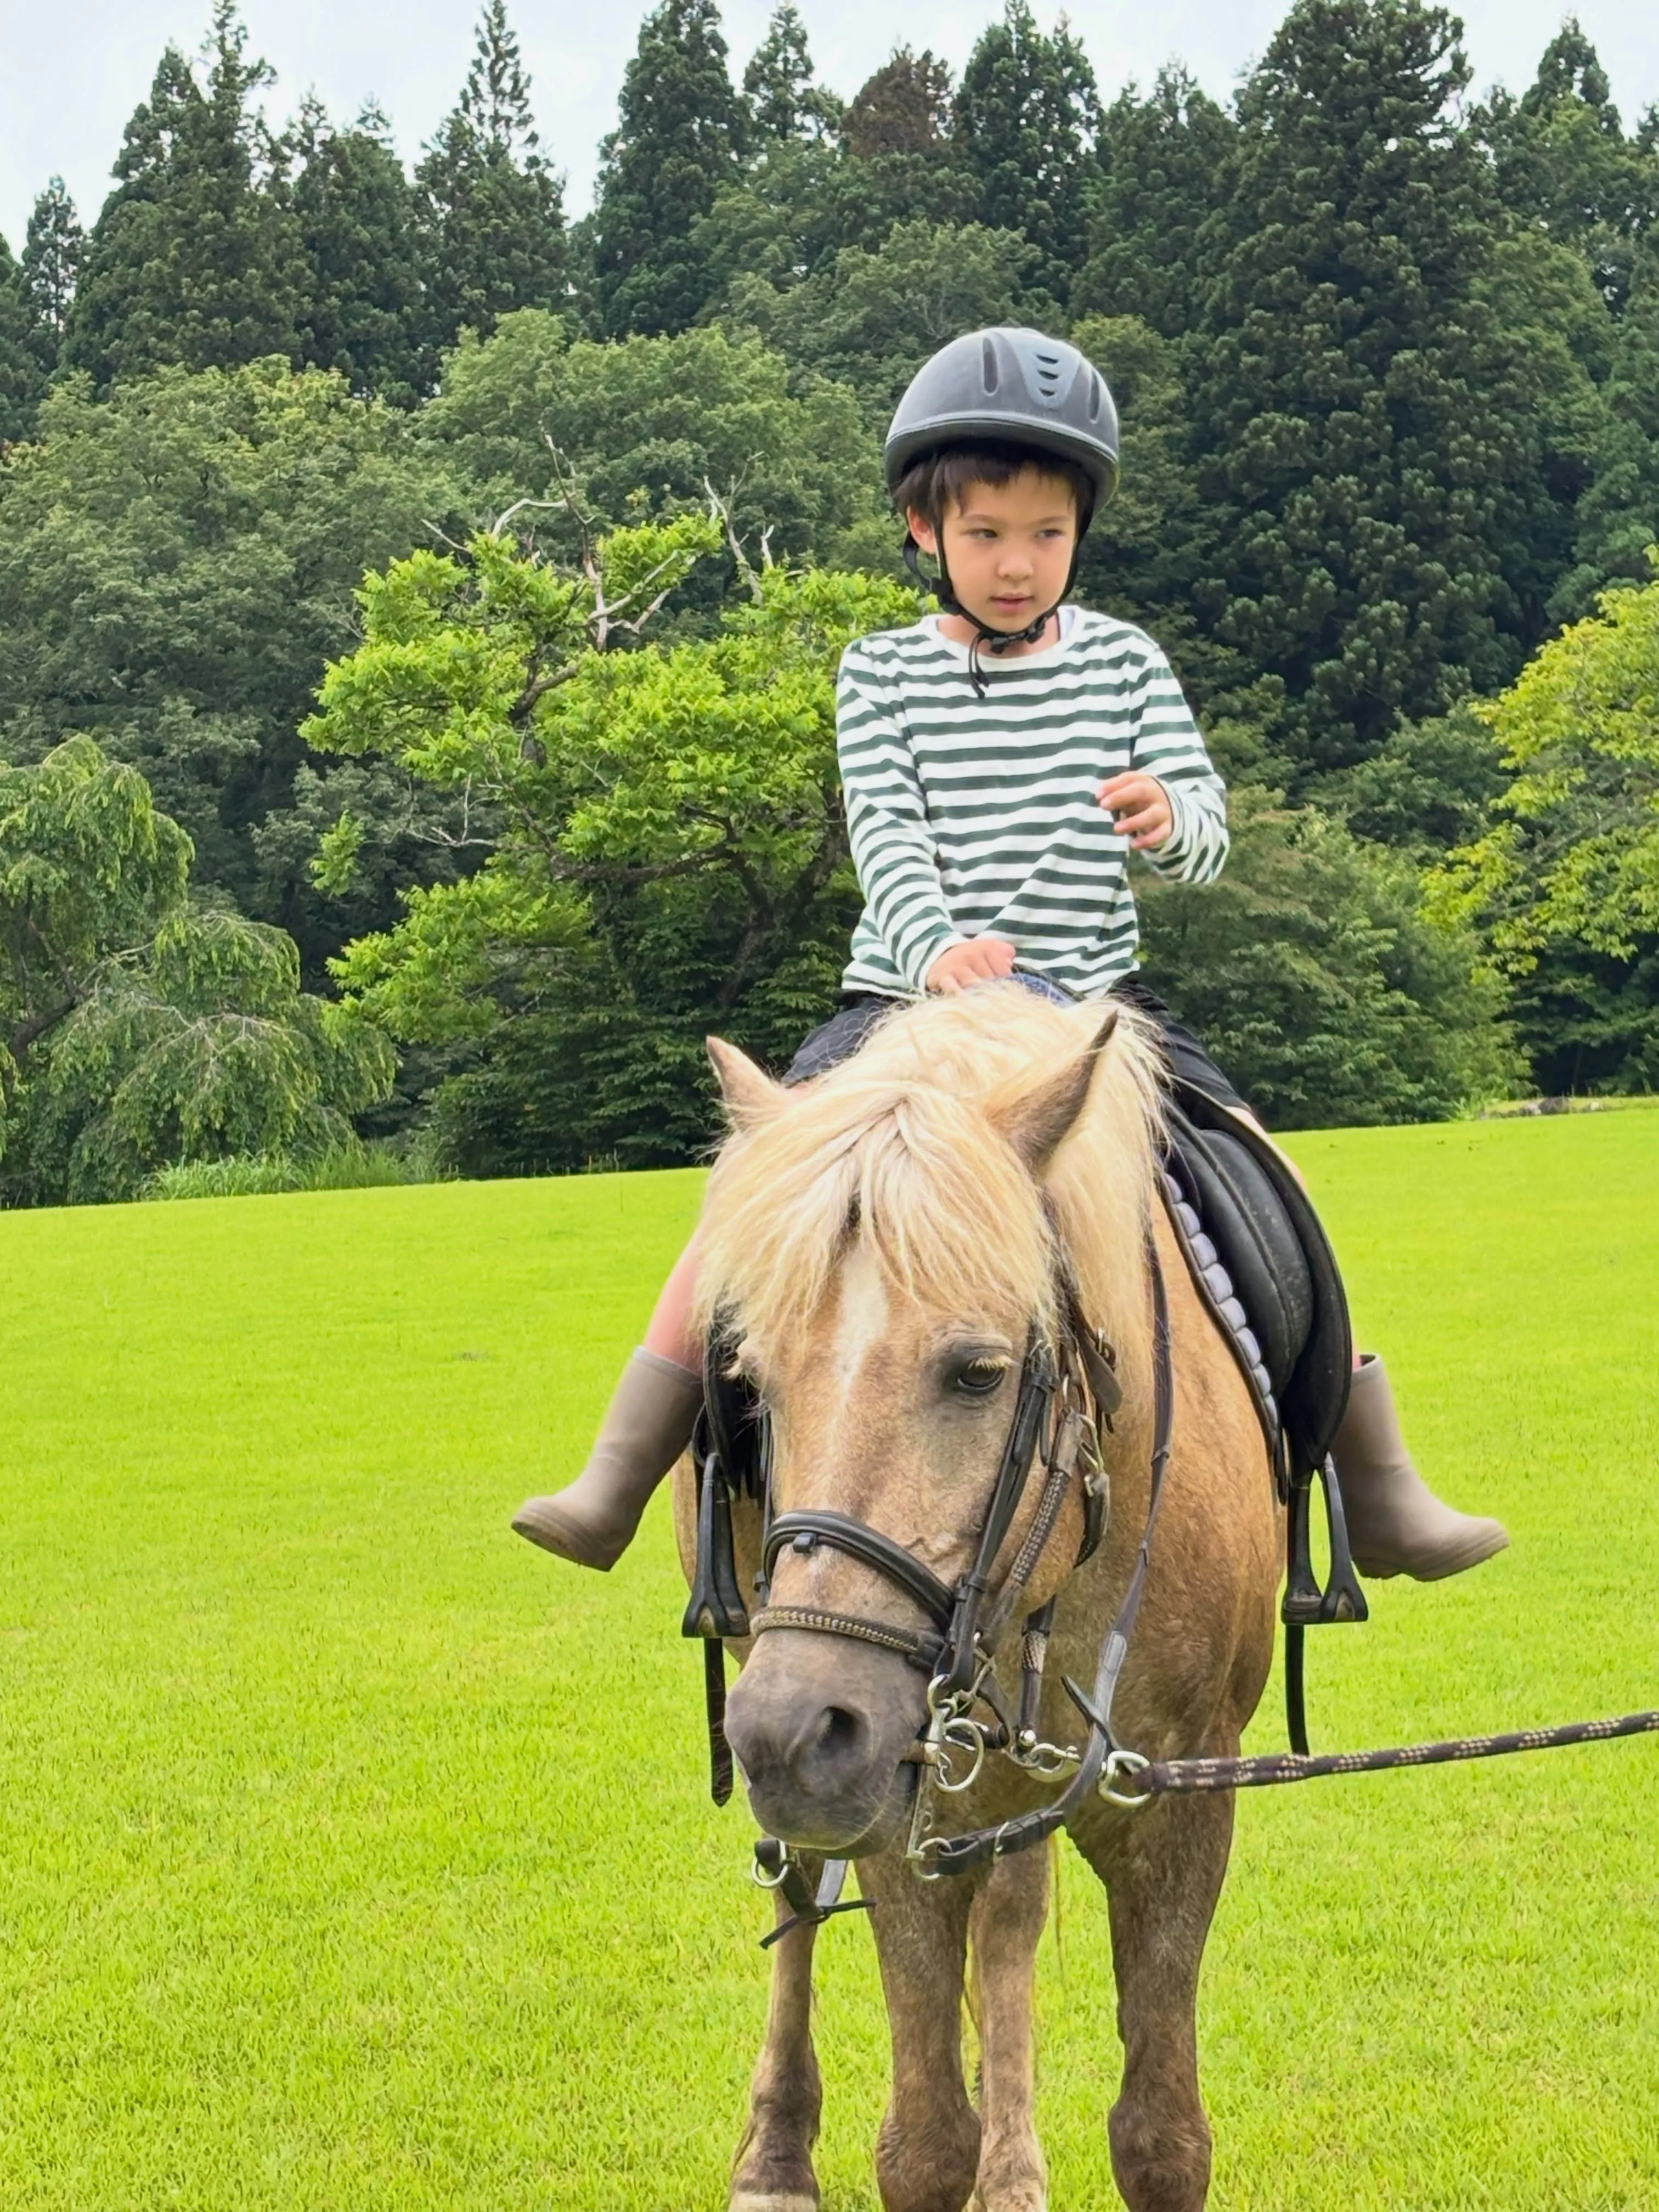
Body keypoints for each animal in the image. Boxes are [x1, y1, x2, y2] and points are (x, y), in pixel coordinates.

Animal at [673, 984, 1282, 2212]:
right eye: (747, 1385)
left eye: (979, 1372)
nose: (793, 1731)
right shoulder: (897, 1793)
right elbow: (921, 2144)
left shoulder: (1186, 1794)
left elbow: (1162, 2138)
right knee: (795, 1892)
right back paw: (775, 2155)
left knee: (1007, 1920)